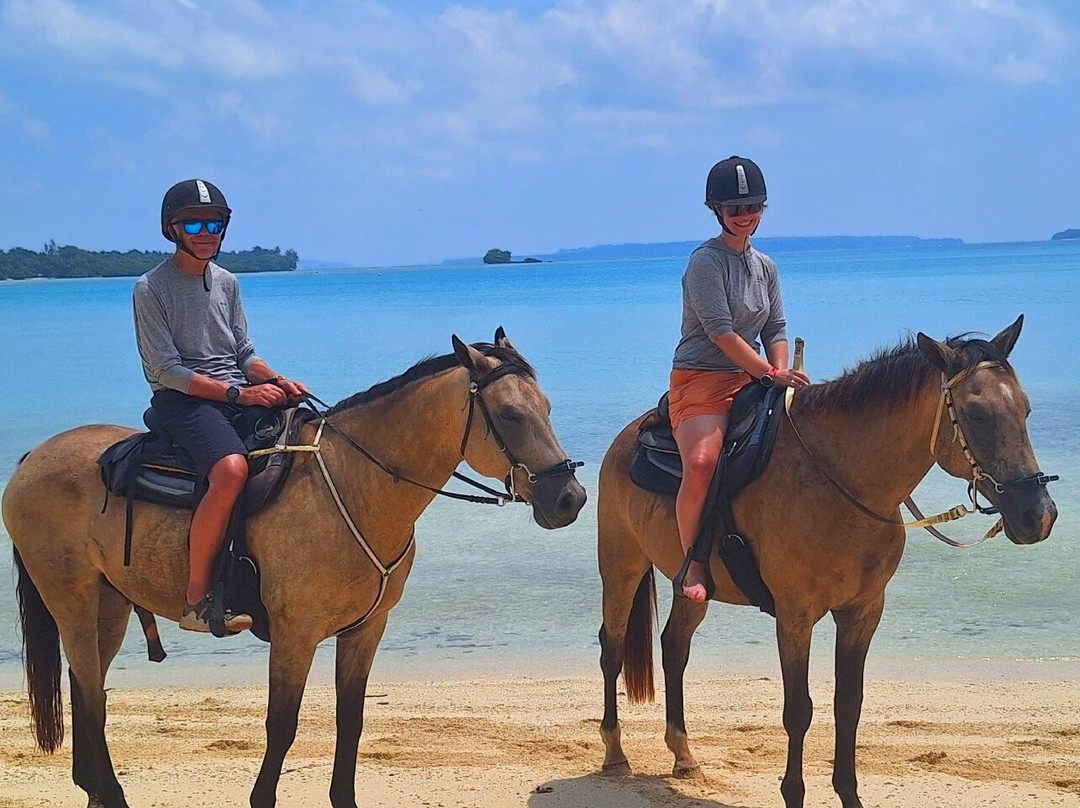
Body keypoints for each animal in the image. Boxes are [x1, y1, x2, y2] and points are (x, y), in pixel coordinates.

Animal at [5, 330, 586, 808]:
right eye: (510, 415)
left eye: (547, 407)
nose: (570, 498)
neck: (354, 484)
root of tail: (31, 459)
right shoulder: (295, 636)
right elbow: (281, 727)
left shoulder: (366, 630)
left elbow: (351, 720)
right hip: (72, 600)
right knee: (88, 692)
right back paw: (111, 792)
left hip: (109, 605)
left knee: (90, 689)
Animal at [595, 316, 1057, 808]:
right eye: (977, 414)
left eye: (1026, 410)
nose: (1040, 515)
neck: (840, 481)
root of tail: (628, 435)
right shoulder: (795, 617)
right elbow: (799, 710)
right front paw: (793, 792)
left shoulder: (862, 613)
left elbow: (848, 704)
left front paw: (848, 793)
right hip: (621, 568)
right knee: (612, 647)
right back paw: (614, 751)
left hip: (692, 588)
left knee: (674, 647)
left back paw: (684, 755)